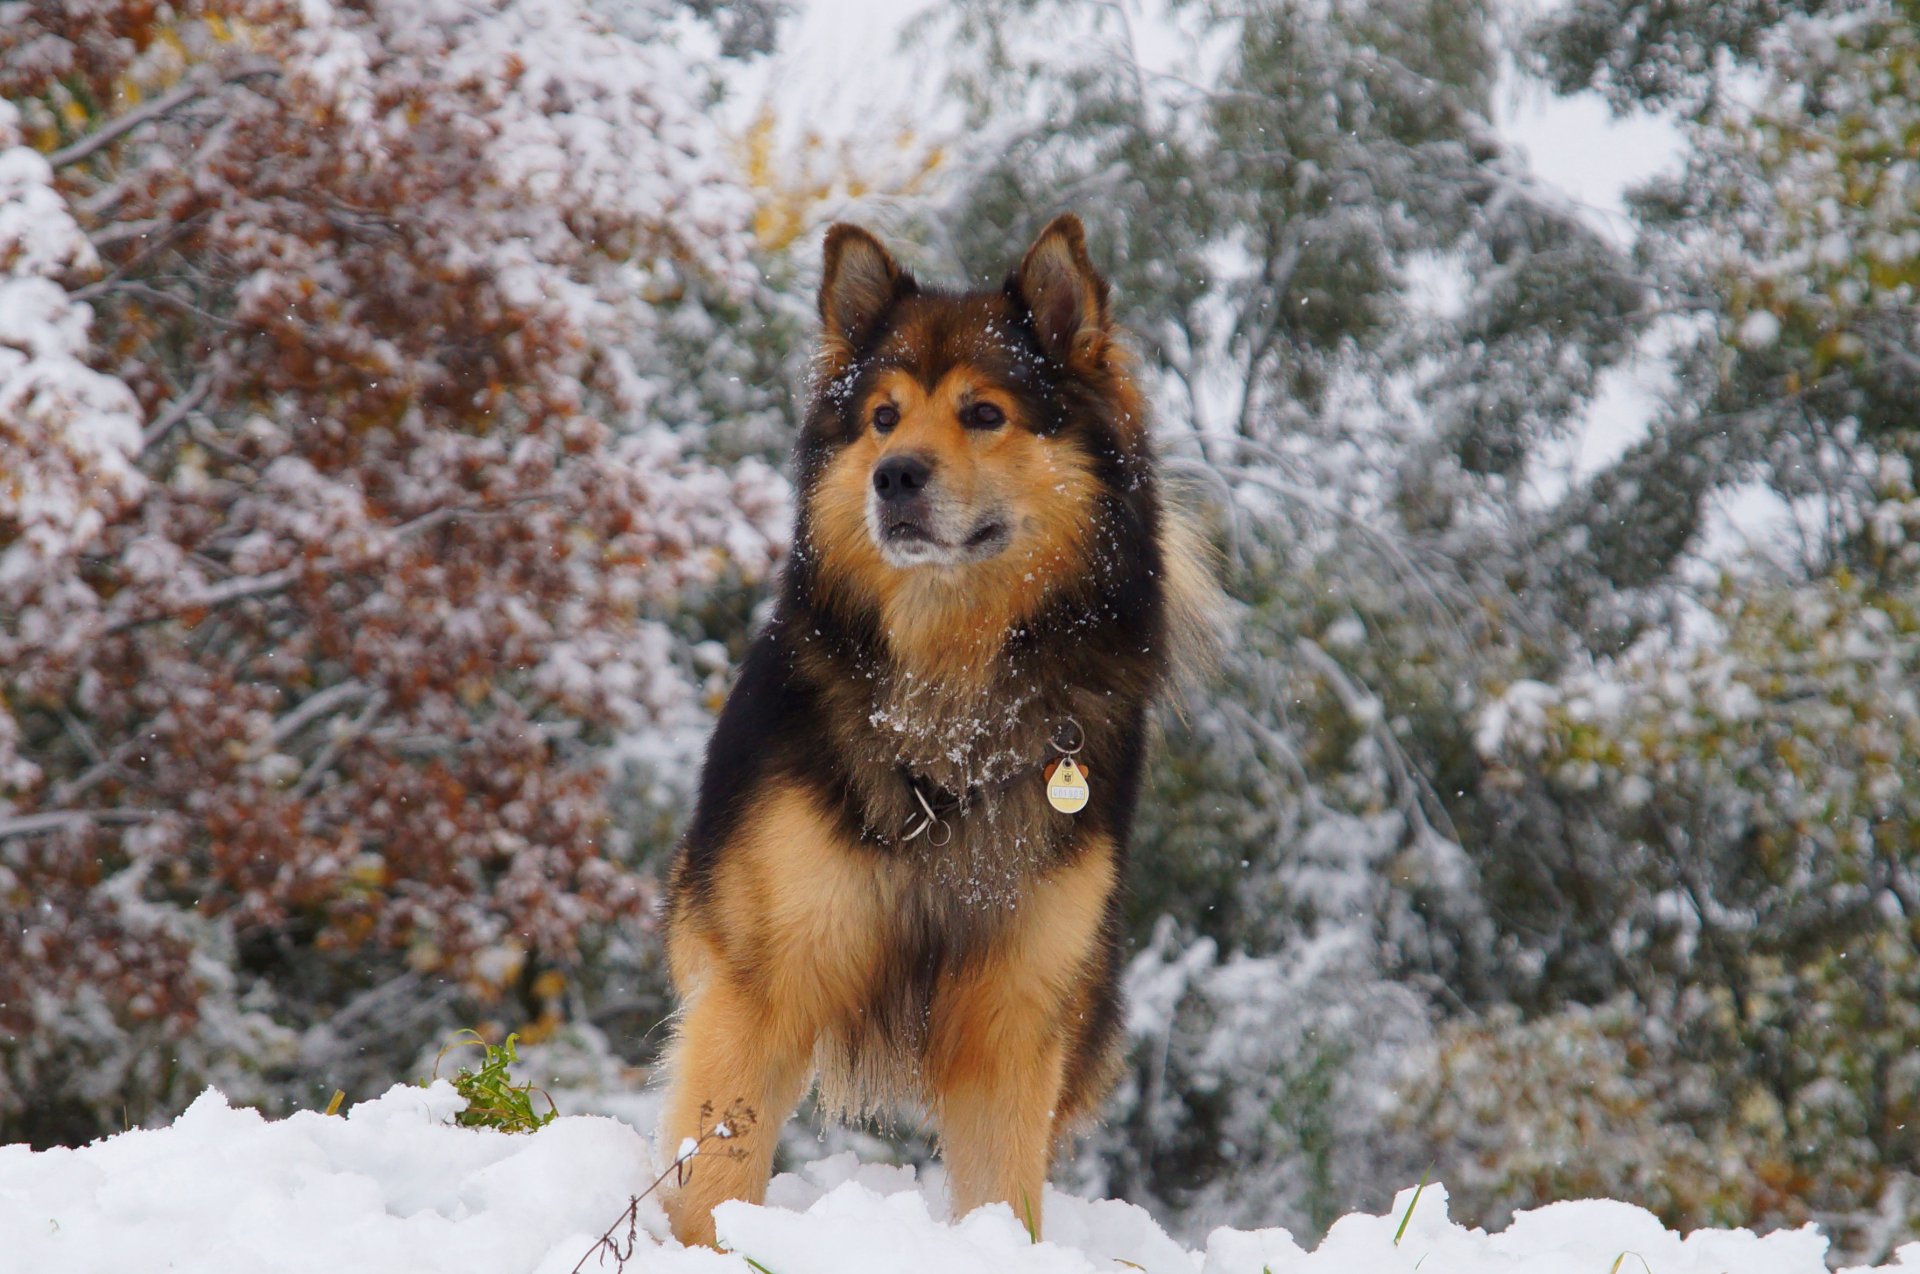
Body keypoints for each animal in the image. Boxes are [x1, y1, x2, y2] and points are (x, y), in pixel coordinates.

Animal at [660, 216, 1213, 1243]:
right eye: (883, 417)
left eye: (984, 414)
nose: (894, 477)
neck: (950, 704)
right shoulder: (761, 986)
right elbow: (715, 1173)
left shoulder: (1017, 1012)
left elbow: (1004, 1188)